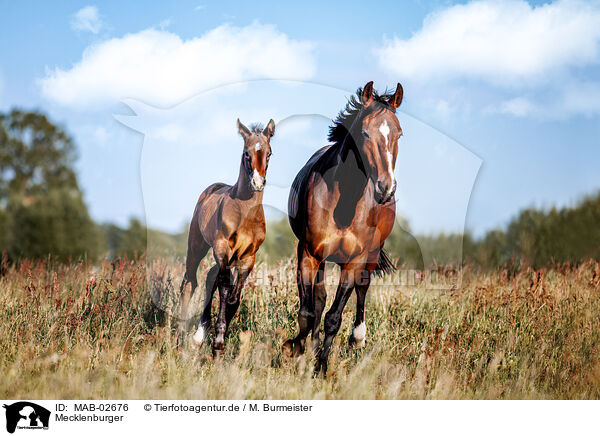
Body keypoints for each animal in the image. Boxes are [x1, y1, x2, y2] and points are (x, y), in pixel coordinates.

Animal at [179, 117, 276, 356]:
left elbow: (233, 298)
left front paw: (218, 339)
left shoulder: (248, 257)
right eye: (246, 153)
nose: (258, 182)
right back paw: (181, 335)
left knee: (210, 276)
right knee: (190, 281)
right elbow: (224, 289)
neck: (245, 214)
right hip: (197, 246)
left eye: (269, 153)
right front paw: (218, 343)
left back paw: (198, 335)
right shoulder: (223, 248)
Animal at [284, 82, 404, 374]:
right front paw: (296, 349)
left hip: (370, 254)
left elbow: (334, 317)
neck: (345, 200)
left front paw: (321, 368)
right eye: (365, 133)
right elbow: (308, 311)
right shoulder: (309, 253)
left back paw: (358, 338)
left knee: (363, 288)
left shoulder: (354, 260)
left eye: (399, 133)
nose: (386, 188)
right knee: (319, 298)